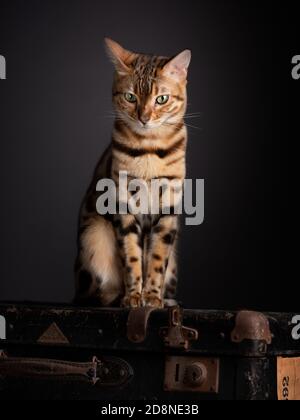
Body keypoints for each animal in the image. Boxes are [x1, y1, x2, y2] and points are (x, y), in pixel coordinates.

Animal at [75, 38, 192, 308]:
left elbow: (157, 259)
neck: (149, 148)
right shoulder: (123, 204)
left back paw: (168, 300)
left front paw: (152, 297)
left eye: (162, 99)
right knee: (93, 294)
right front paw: (133, 296)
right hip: (94, 238)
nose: (144, 118)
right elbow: (131, 256)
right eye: (130, 97)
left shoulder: (168, 207)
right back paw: (116, 296)